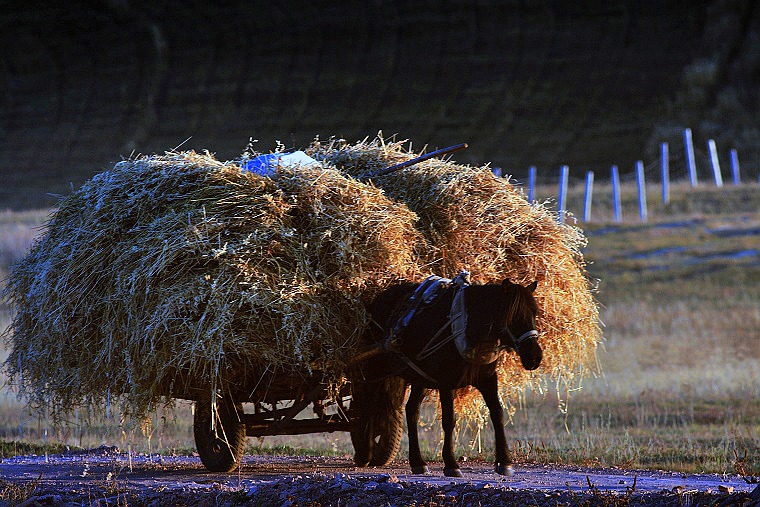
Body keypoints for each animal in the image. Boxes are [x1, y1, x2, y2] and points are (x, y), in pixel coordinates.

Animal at [354, 274, 540, 476]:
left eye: (534, 314)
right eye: (513, 316)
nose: (535, 357)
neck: (467, 327)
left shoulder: (488, 379)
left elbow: (497, 414)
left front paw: (504, 461)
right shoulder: (446, 383)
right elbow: (449, 420)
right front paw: (451, 463)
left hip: (418, 376)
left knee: (411, 411)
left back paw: (417, 462)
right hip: (377, 369)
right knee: (369, 404)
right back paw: (365, 452)